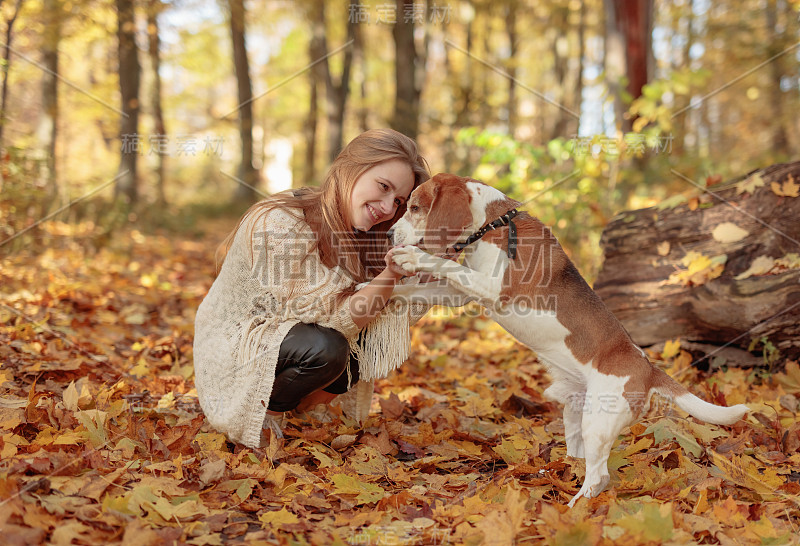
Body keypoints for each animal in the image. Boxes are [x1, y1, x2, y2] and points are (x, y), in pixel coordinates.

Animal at [388, 173, 752, 506]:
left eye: (415, 207)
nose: (390, 234)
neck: (496, 225)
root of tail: (649, 369)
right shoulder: (461, 292)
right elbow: (427, 286)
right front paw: (386, 295)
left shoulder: (493, 289)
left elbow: (441, 264)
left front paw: (411, 257)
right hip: (576, 414)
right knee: (581, 461)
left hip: (598, 422)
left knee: (599, 477)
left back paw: (574, 508)